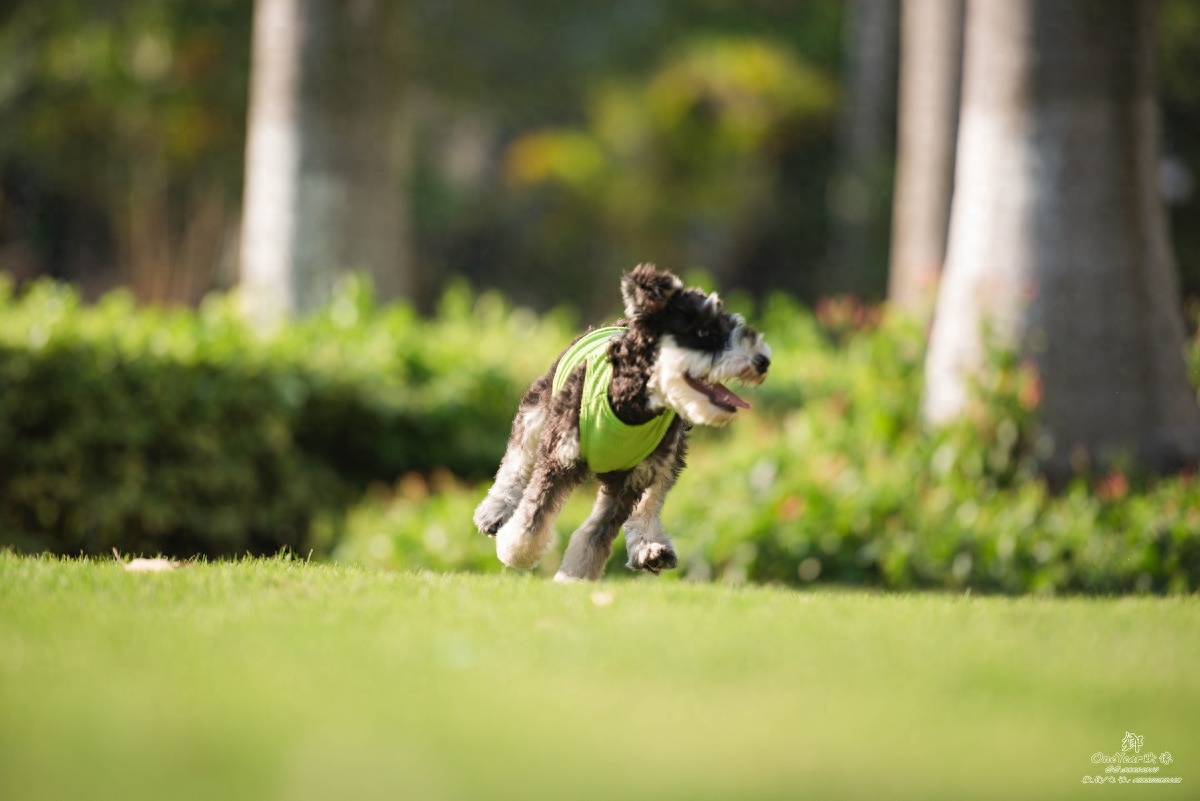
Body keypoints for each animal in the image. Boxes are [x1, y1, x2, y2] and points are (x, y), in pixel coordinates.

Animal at [468, 263, 768, 582]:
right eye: (703, 331)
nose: (763, 361)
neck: (630, 406)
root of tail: (621, 322)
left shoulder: (633, 481)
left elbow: (596, 534)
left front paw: (574, 577)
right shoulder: (559, 458)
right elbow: (533, 518)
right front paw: (515, 552)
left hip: (669, 455)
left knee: (651, 503)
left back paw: (650, 548)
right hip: (538, 409)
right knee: (517, 459)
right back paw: (494, 511)